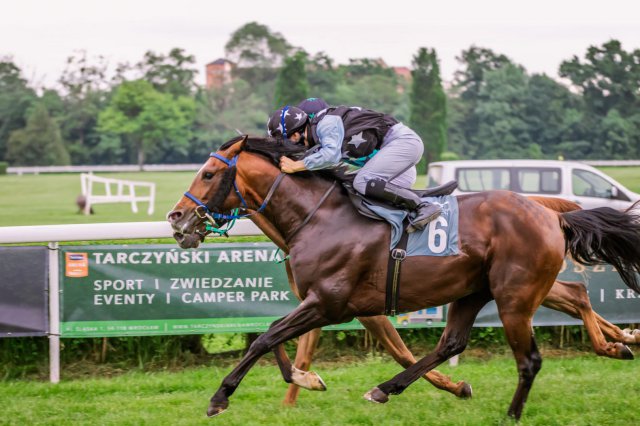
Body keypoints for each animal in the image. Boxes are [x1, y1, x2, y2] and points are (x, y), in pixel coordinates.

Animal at [166, 137, 640, 420]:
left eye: (209, 173)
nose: (176, 217)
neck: (317, 218)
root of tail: (548, 213)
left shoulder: (329, 303)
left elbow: (266, 338)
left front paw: (220, 397)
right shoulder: (324, 303)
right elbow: (271, 338)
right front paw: (306, 379)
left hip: (514, 297)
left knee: (530, 359)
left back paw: (514, 411)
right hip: (476, 290)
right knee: (457, 341)